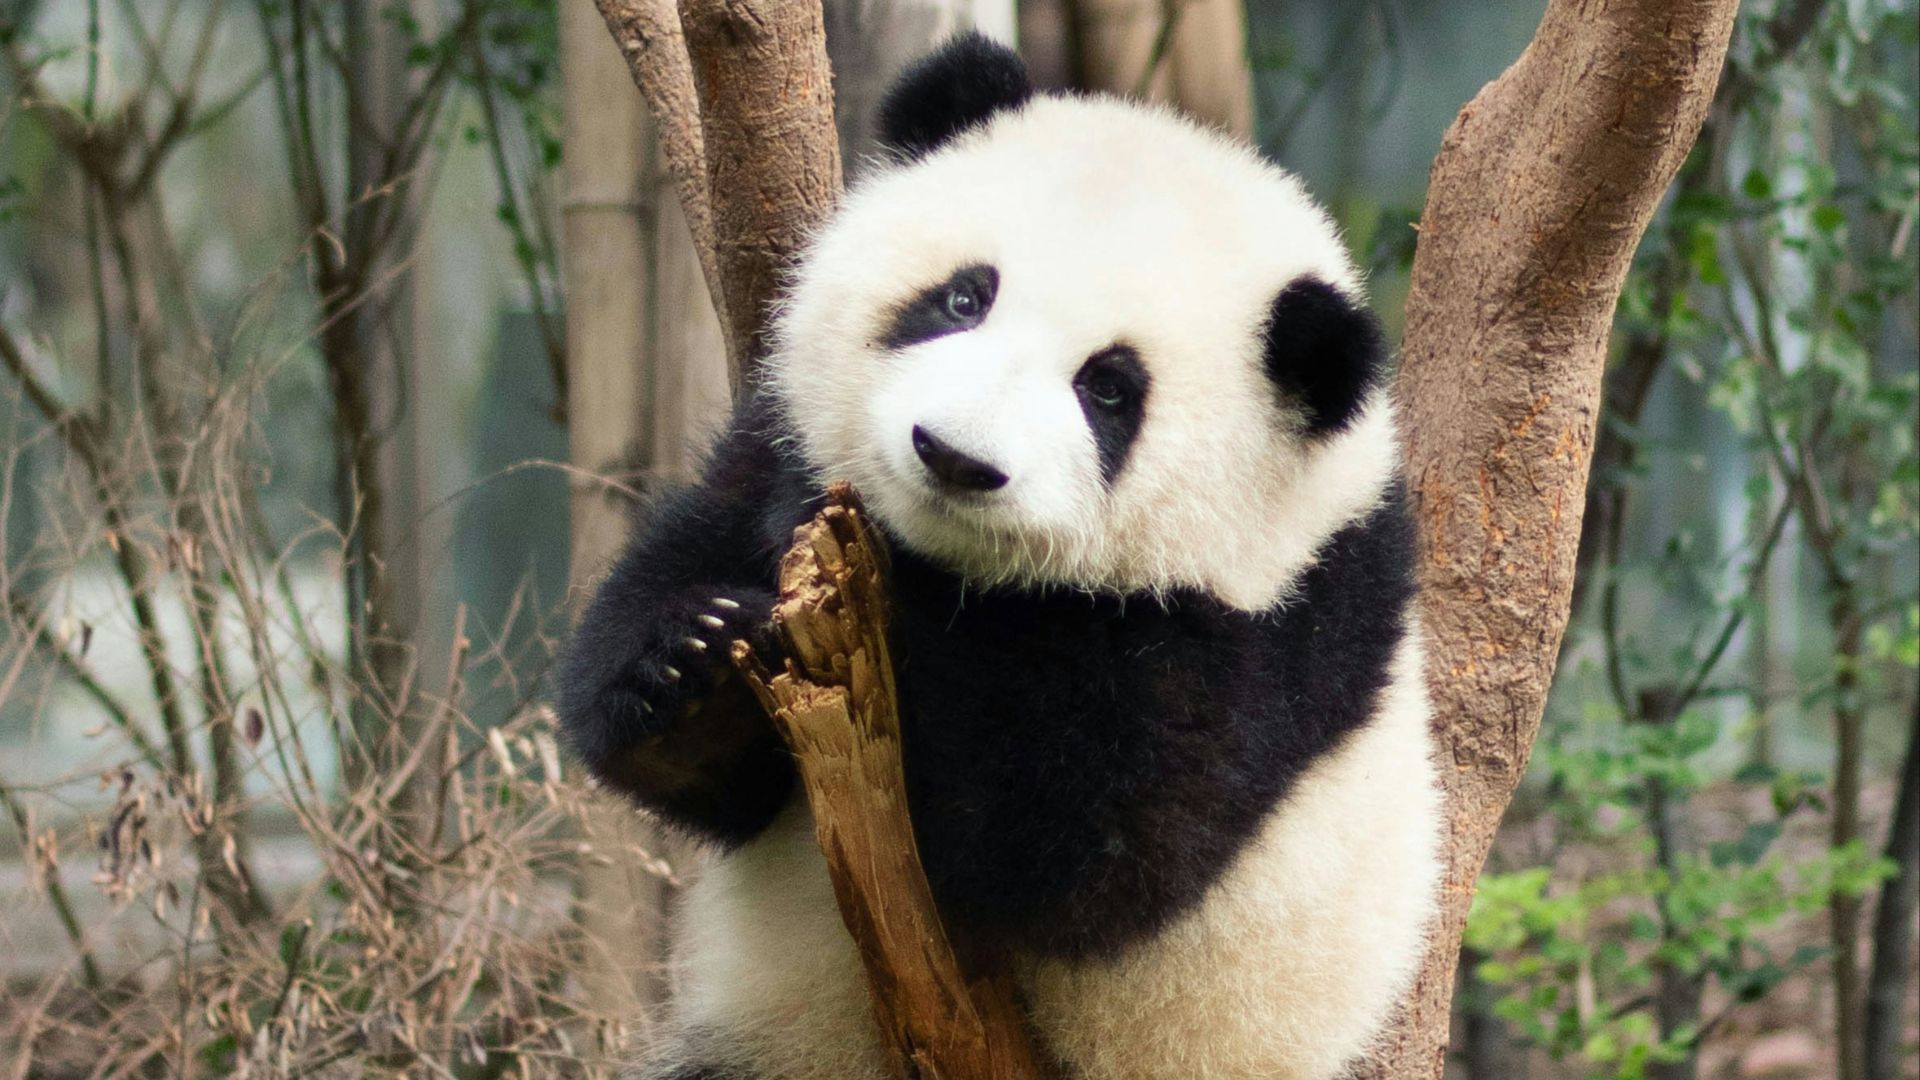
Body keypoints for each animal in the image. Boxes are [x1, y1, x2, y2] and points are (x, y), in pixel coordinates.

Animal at [560, 33, 1443, 1080]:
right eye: (961, 297)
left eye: (1109, 389)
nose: (951, 455)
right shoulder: (776, 437)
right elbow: (701, 724)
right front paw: (691, 658)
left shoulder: (1264, 634)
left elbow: (1077, 851)